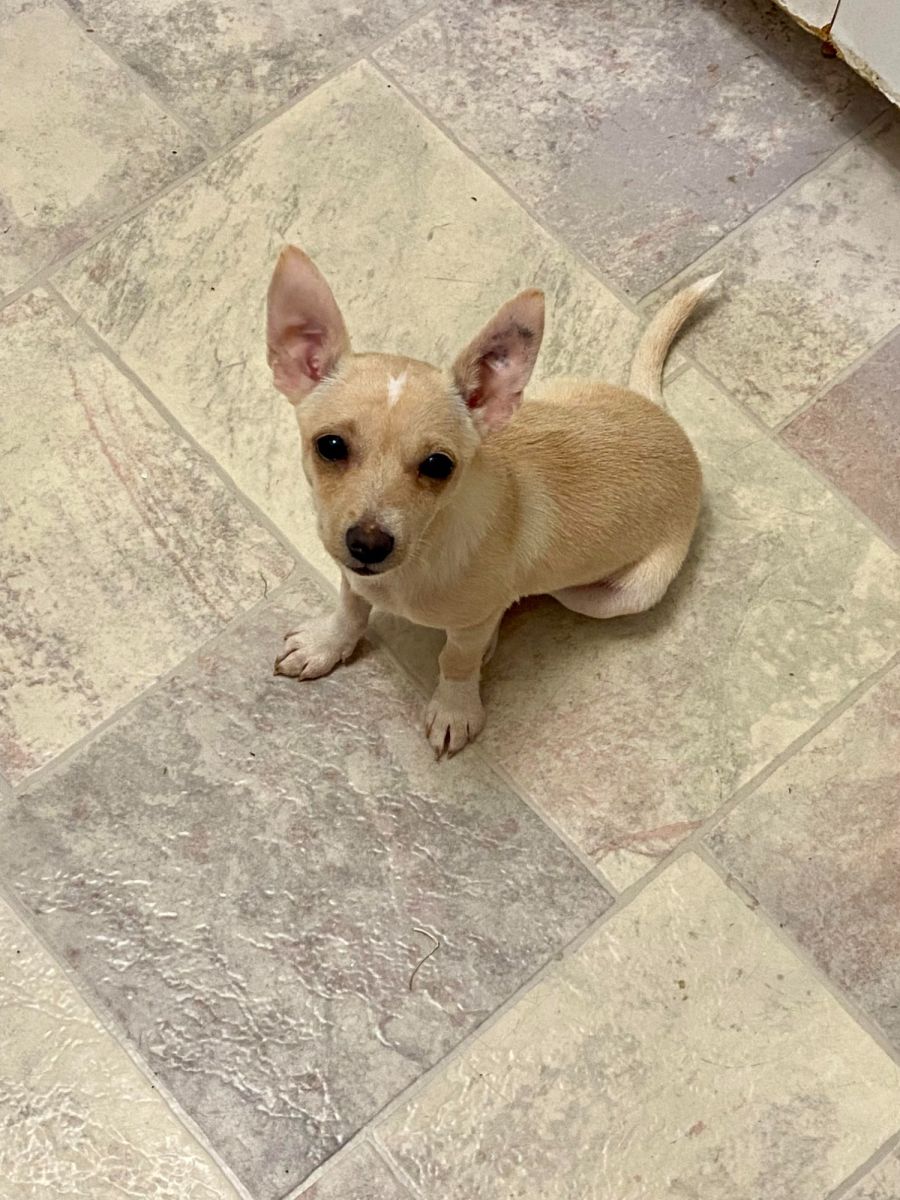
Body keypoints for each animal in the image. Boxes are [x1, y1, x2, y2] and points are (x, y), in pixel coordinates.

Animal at [267, 246, 717, 757]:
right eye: (330, 446)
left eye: (438, 465)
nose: (368, 545)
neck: (425, 552)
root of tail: (668, 420)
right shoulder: (352, 573)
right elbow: (351, 605)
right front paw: (326, 643)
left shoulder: (464, 623)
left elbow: (456, 658)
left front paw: (455, 709)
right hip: (547, 395)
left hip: (621, 594)